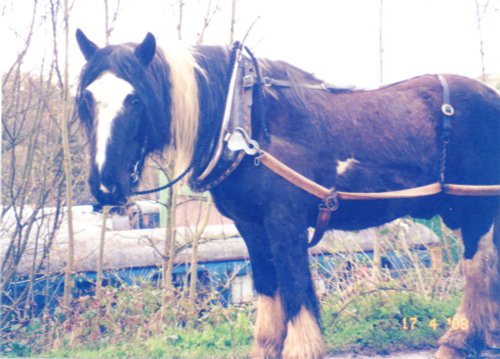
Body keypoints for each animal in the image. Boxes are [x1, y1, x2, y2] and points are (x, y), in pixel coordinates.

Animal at [75, 28, 500, 359]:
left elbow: (295, 290)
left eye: (135, 98)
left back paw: (460, 338)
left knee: (476, 266)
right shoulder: (251, 227)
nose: (105, 186)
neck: (246, 121)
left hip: (476, 206)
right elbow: (268, 289)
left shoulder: (285, 222)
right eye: (87, 99)